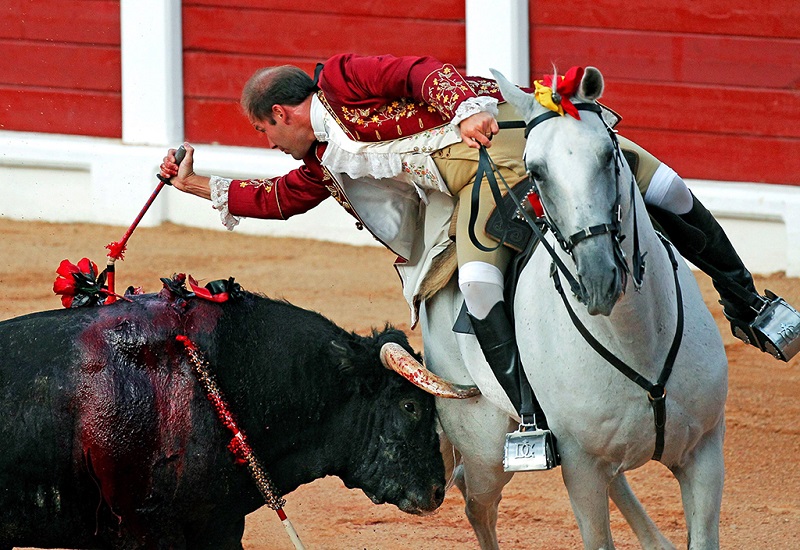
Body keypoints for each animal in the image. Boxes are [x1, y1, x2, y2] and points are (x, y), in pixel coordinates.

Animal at [418, 70, 724, 550]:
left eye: (608, 154)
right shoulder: (581, 468)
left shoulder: (705, 451)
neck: (638, 339)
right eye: (537, 172)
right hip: (485, 448)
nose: (598, 278)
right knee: (476, 502)